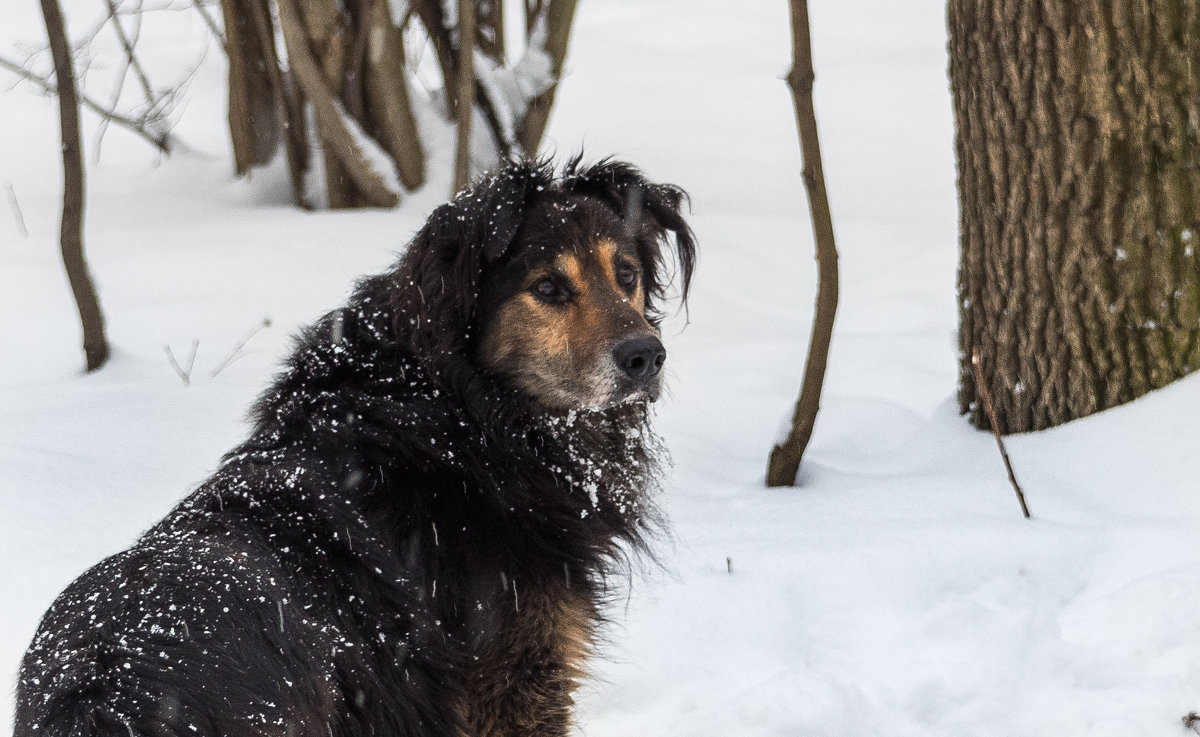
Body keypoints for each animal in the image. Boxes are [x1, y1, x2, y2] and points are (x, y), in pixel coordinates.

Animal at [16, 158, 696, 737]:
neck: (459, 415)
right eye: (549, 288)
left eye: (627, 276)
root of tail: (108, 693)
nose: (647, 356)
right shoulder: (515, 680)